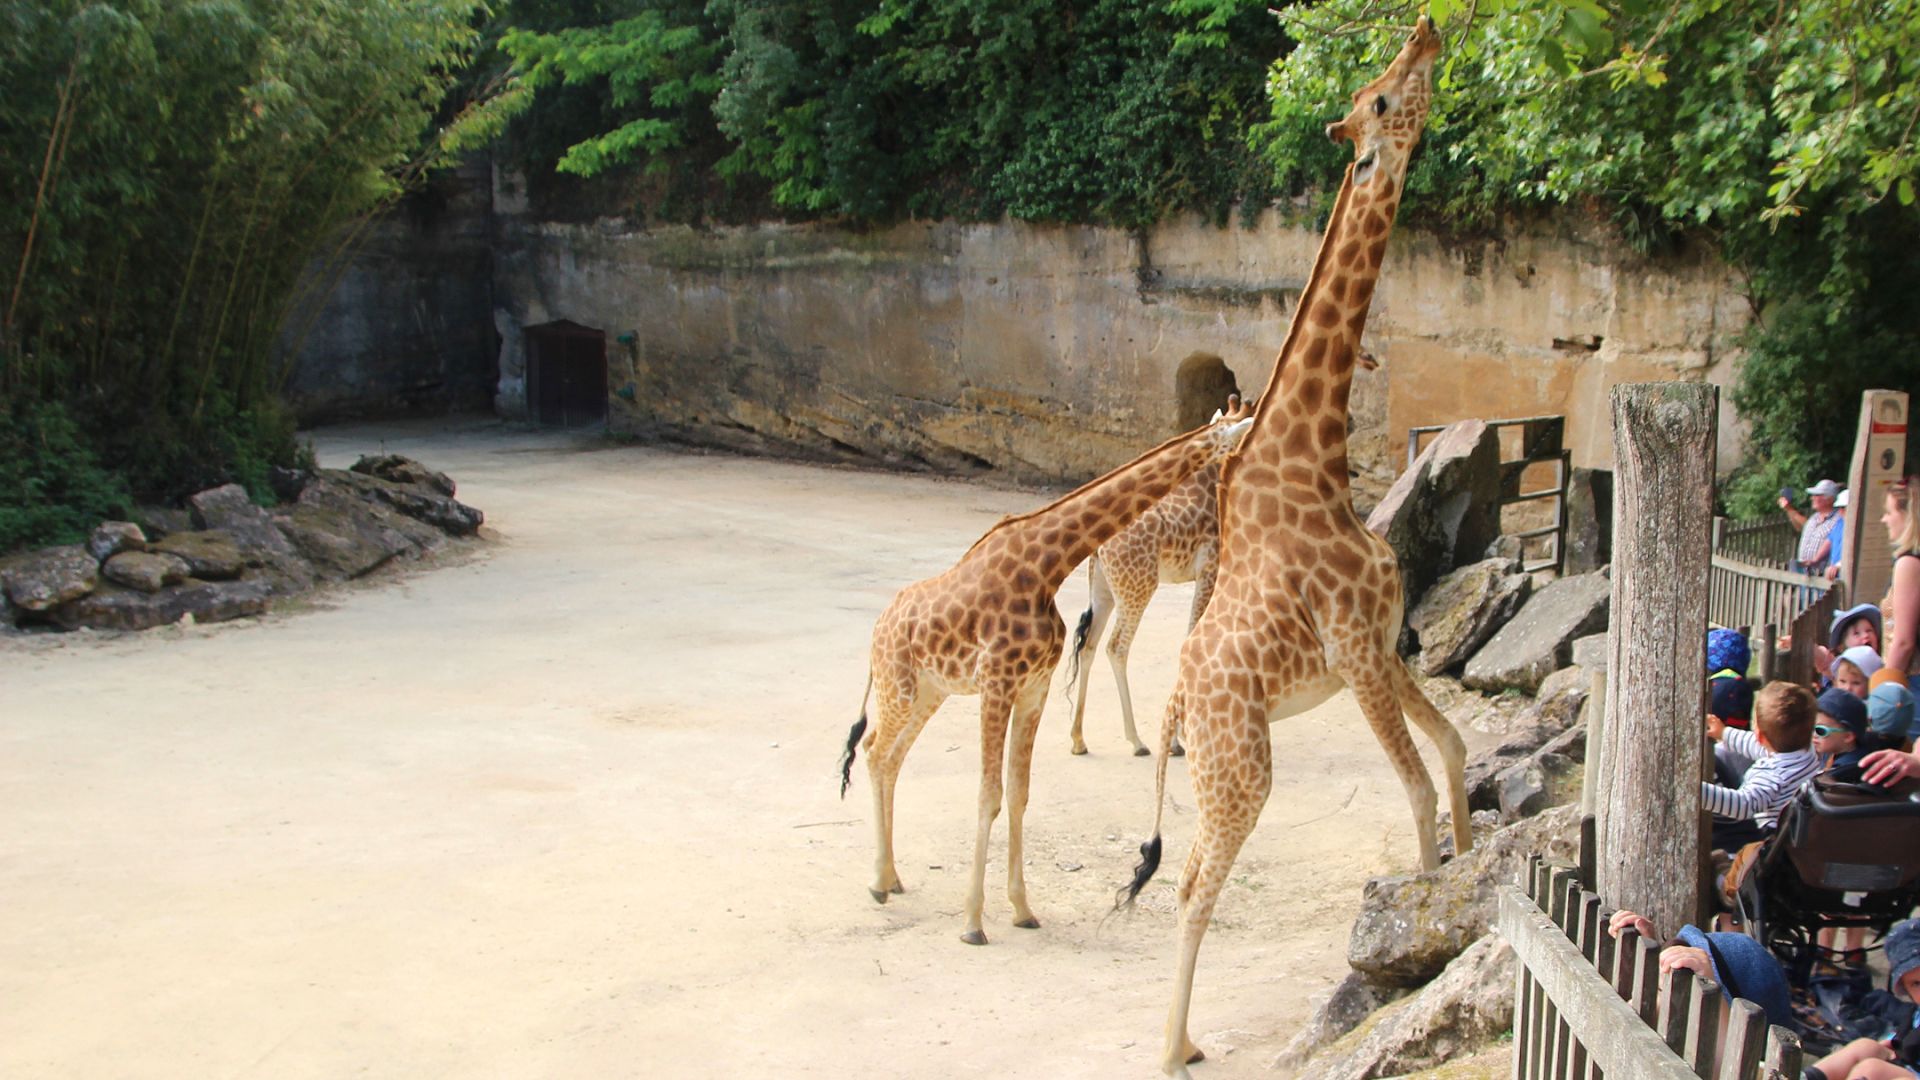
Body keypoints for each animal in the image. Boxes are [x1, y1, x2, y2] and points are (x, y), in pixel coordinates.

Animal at [833, 403, 1251, 941]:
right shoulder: (997, 684)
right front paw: (973, 923)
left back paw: (890, 879)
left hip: (929, 693)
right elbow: (988, 795)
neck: (1046, 565)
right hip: (899, 687)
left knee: (887, 757)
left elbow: (1019, 794)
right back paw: (878, 881)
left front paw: (1021, 908)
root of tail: (877, 630)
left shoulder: (1034, 688)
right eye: (1230, 441)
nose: (1233, 493)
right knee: (873, 751)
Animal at [1075, 357, 1374, 753]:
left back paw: (1078, 739)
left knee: (1088, 646)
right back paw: (1137, 740)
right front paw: (1181, 740)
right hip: (1137, 587)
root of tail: (1099, 545)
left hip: (1105, 588)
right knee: (1116, 647)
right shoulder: (1211, 569)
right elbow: (1192, 636)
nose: (1351, 419)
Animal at [1113, 16, 1466, 1068]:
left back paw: (1184, 1040)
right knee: (1193, 884)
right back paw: (1173, 1049)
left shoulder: (1381, 645)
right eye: (1380, 98)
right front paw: (1415, 952)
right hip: (1243, 766)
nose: (1428, 27)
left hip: (1231, 758)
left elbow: (1456, 755)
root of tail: (1182, 702)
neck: (1316, 465)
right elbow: (1417, 792)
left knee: (1185, 873)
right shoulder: (1355, 649)